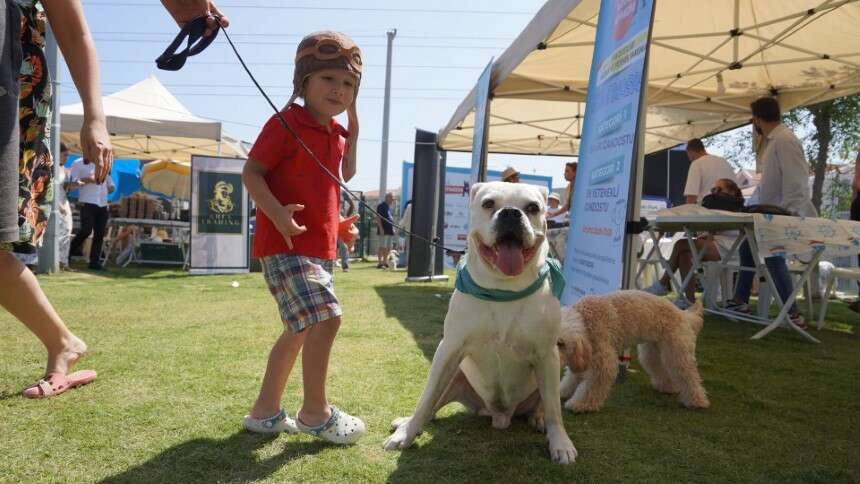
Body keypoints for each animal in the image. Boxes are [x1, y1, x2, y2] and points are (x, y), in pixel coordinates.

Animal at [382, 181, 576, 466]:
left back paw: (538, 418)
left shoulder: (546, 353)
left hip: (556, 362)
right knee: (433, 402)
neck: (503, 288)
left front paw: (560, 442)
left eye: (532, 207)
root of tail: (500, 415)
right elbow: (426, 397)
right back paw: (409, 423)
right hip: (456, 374)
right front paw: (407, 433)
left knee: (545, 401)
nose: (510, 213)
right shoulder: (449, 348)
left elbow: (554, 407)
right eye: (488, 204)